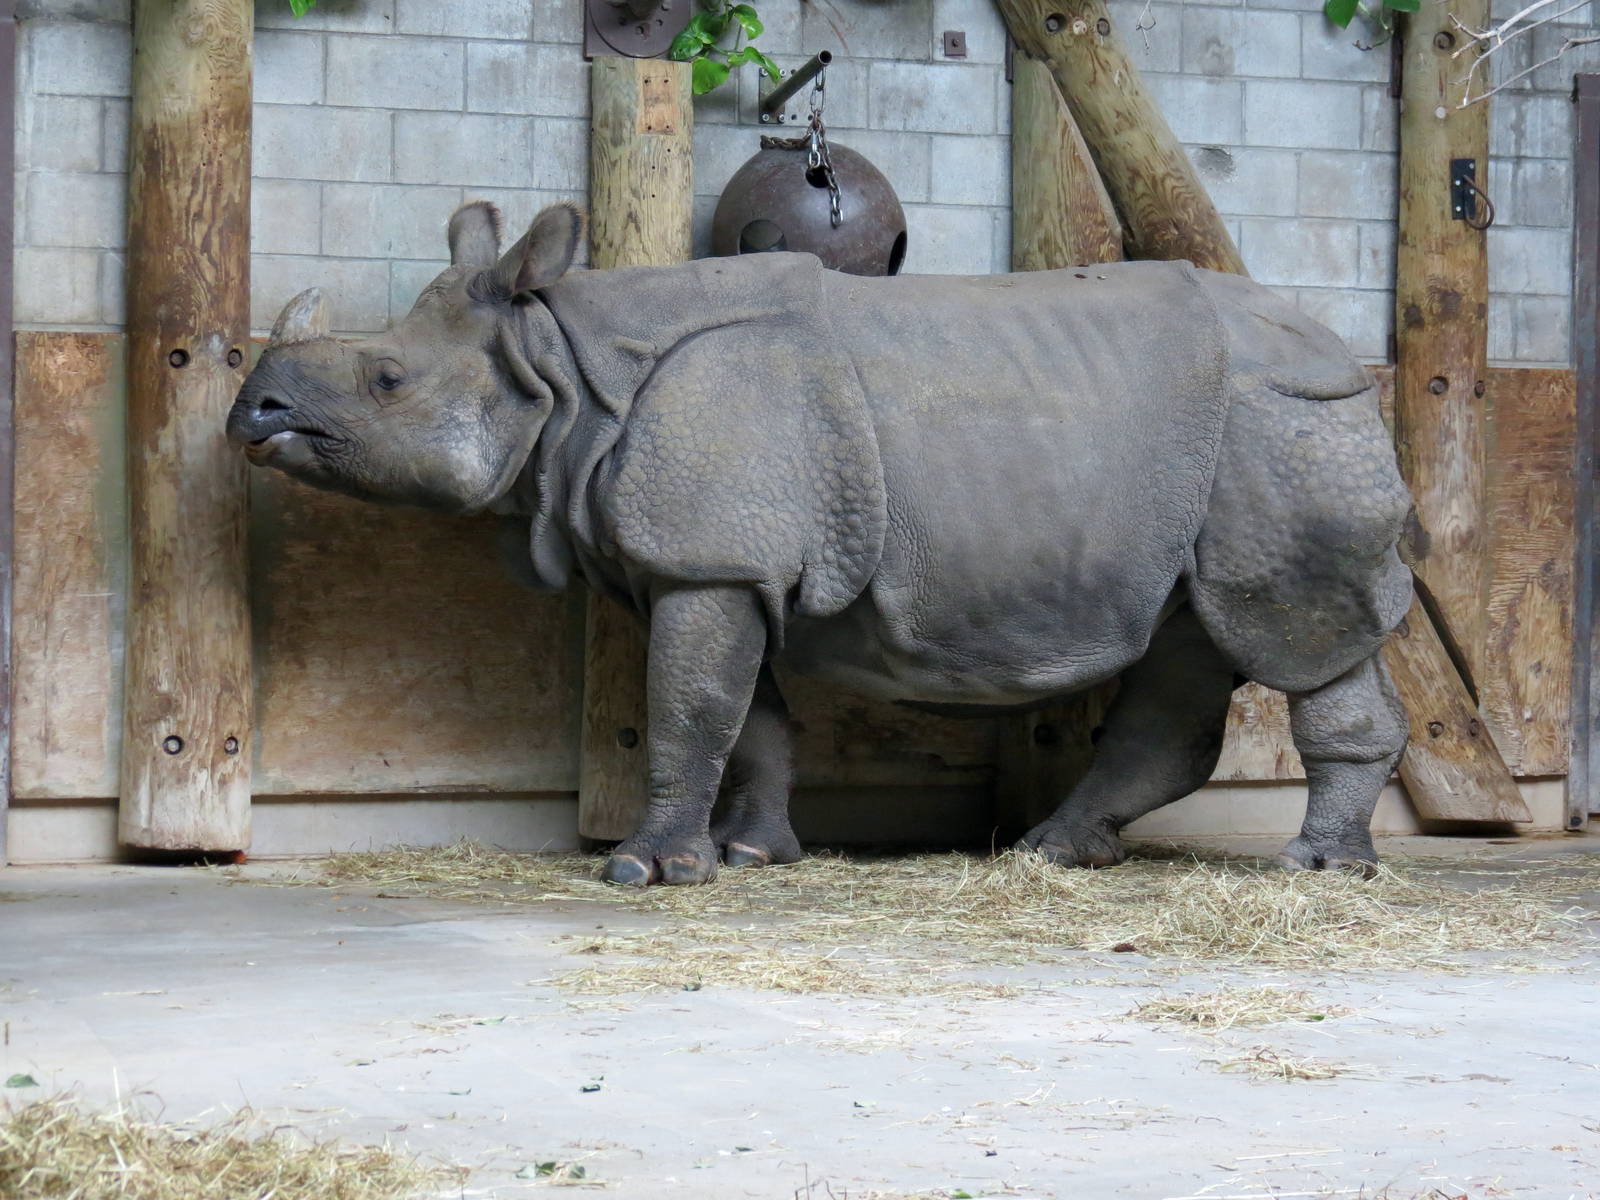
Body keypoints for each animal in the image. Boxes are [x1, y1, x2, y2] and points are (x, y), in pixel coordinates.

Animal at [228, 201, 1414, 886]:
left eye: (386, 381)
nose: (252, 411)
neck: (553, 360)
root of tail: (1353, 363)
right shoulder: (720, 565)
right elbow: (748, 716)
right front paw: (751, 855)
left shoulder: (708, 558)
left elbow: (687, 708)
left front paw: (647, 874)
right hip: (1234, 445)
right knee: (1187, 641)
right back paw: (1051, 853)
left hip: (1291, 427)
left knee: (1296, 635)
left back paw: (1315, 869)